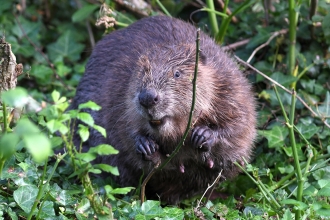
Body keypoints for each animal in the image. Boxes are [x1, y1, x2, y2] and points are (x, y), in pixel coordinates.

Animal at [71, 15, 258, 205]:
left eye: (177, 73)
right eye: (142, 72)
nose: (147, 98)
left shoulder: (228, 85)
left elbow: (240, 124)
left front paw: (203, 135)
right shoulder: (119, 95)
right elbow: (125, 132)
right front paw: (145, 145)